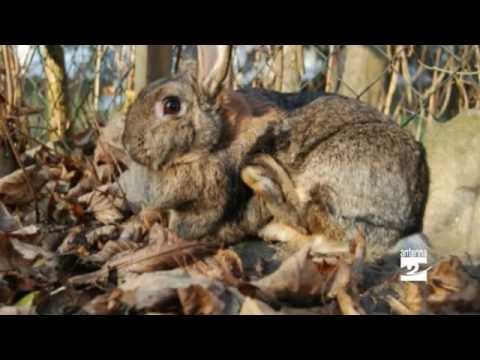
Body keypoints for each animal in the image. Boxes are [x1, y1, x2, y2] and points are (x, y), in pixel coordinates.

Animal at [122, 45, 430, 258]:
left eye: (171, 105)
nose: (128, 144)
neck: (217, 141)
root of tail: (408, 220)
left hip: (328, 171)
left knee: (335, 236)